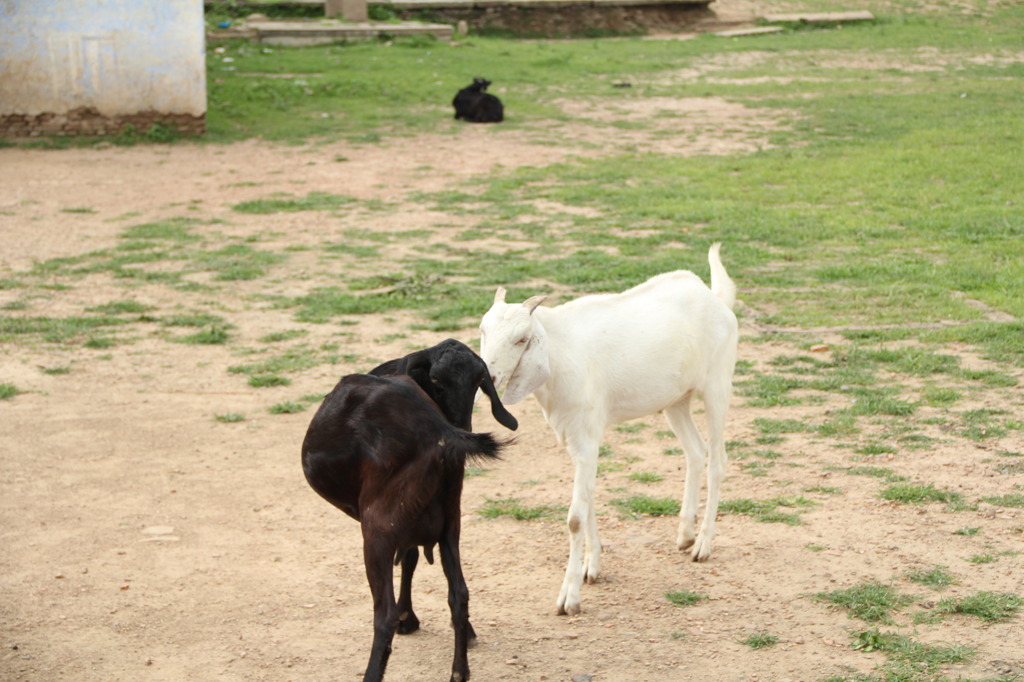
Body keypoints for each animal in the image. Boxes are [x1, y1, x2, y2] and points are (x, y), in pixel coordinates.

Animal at [299, 346, 516, 679]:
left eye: (478, 381)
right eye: (437, 380)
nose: (462, 424)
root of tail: (437, 428)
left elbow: (406, 564)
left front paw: (405, 617)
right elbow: (413, 559)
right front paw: (418, 619)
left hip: (377, 530)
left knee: (383, 613)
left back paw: (373, 671)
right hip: (450, 522)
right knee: (459, 594)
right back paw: (459, 672)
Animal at [479, 241, 737, 614]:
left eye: (522, 339)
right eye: (483, 331)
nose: (490, 378)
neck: (560, 355)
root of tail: (715, 298)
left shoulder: (587, 437)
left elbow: (575, 516)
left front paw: (569, 597)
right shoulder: (575, 439)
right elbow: (587, 502)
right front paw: (592, 568)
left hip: (717, 386)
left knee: (717, 461)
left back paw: (703, 545)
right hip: (676, 400)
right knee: (695, 452)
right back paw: (685, 534)